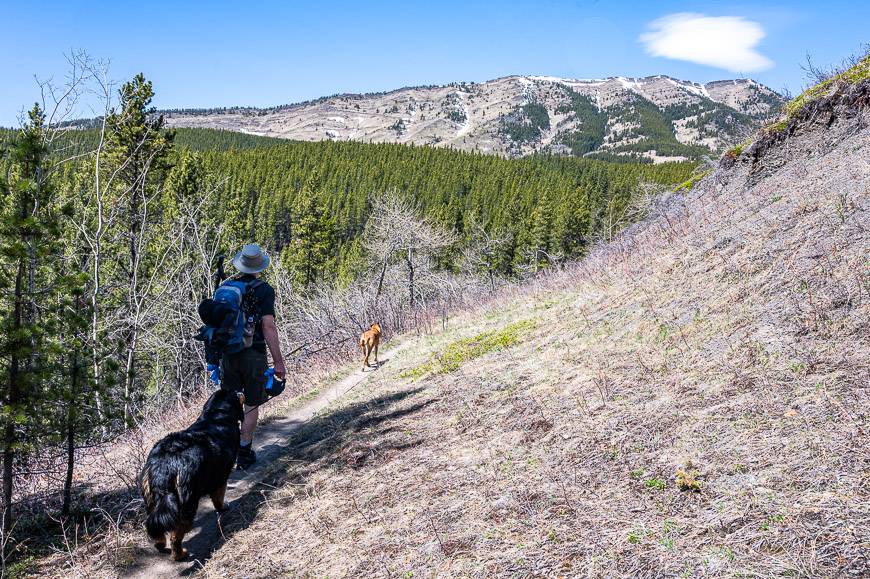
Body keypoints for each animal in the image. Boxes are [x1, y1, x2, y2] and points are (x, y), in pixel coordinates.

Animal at [141, 390, 245, 560]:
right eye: (234, 393)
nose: (240, 391)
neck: (215, 416)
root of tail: (164, 466)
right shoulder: (221, 476)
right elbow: (219, 497)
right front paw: (222, 507)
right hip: (187, 504)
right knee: (175, 536)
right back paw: (179, 554)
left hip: (151, 500)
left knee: (155, 527)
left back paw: (160, 544)